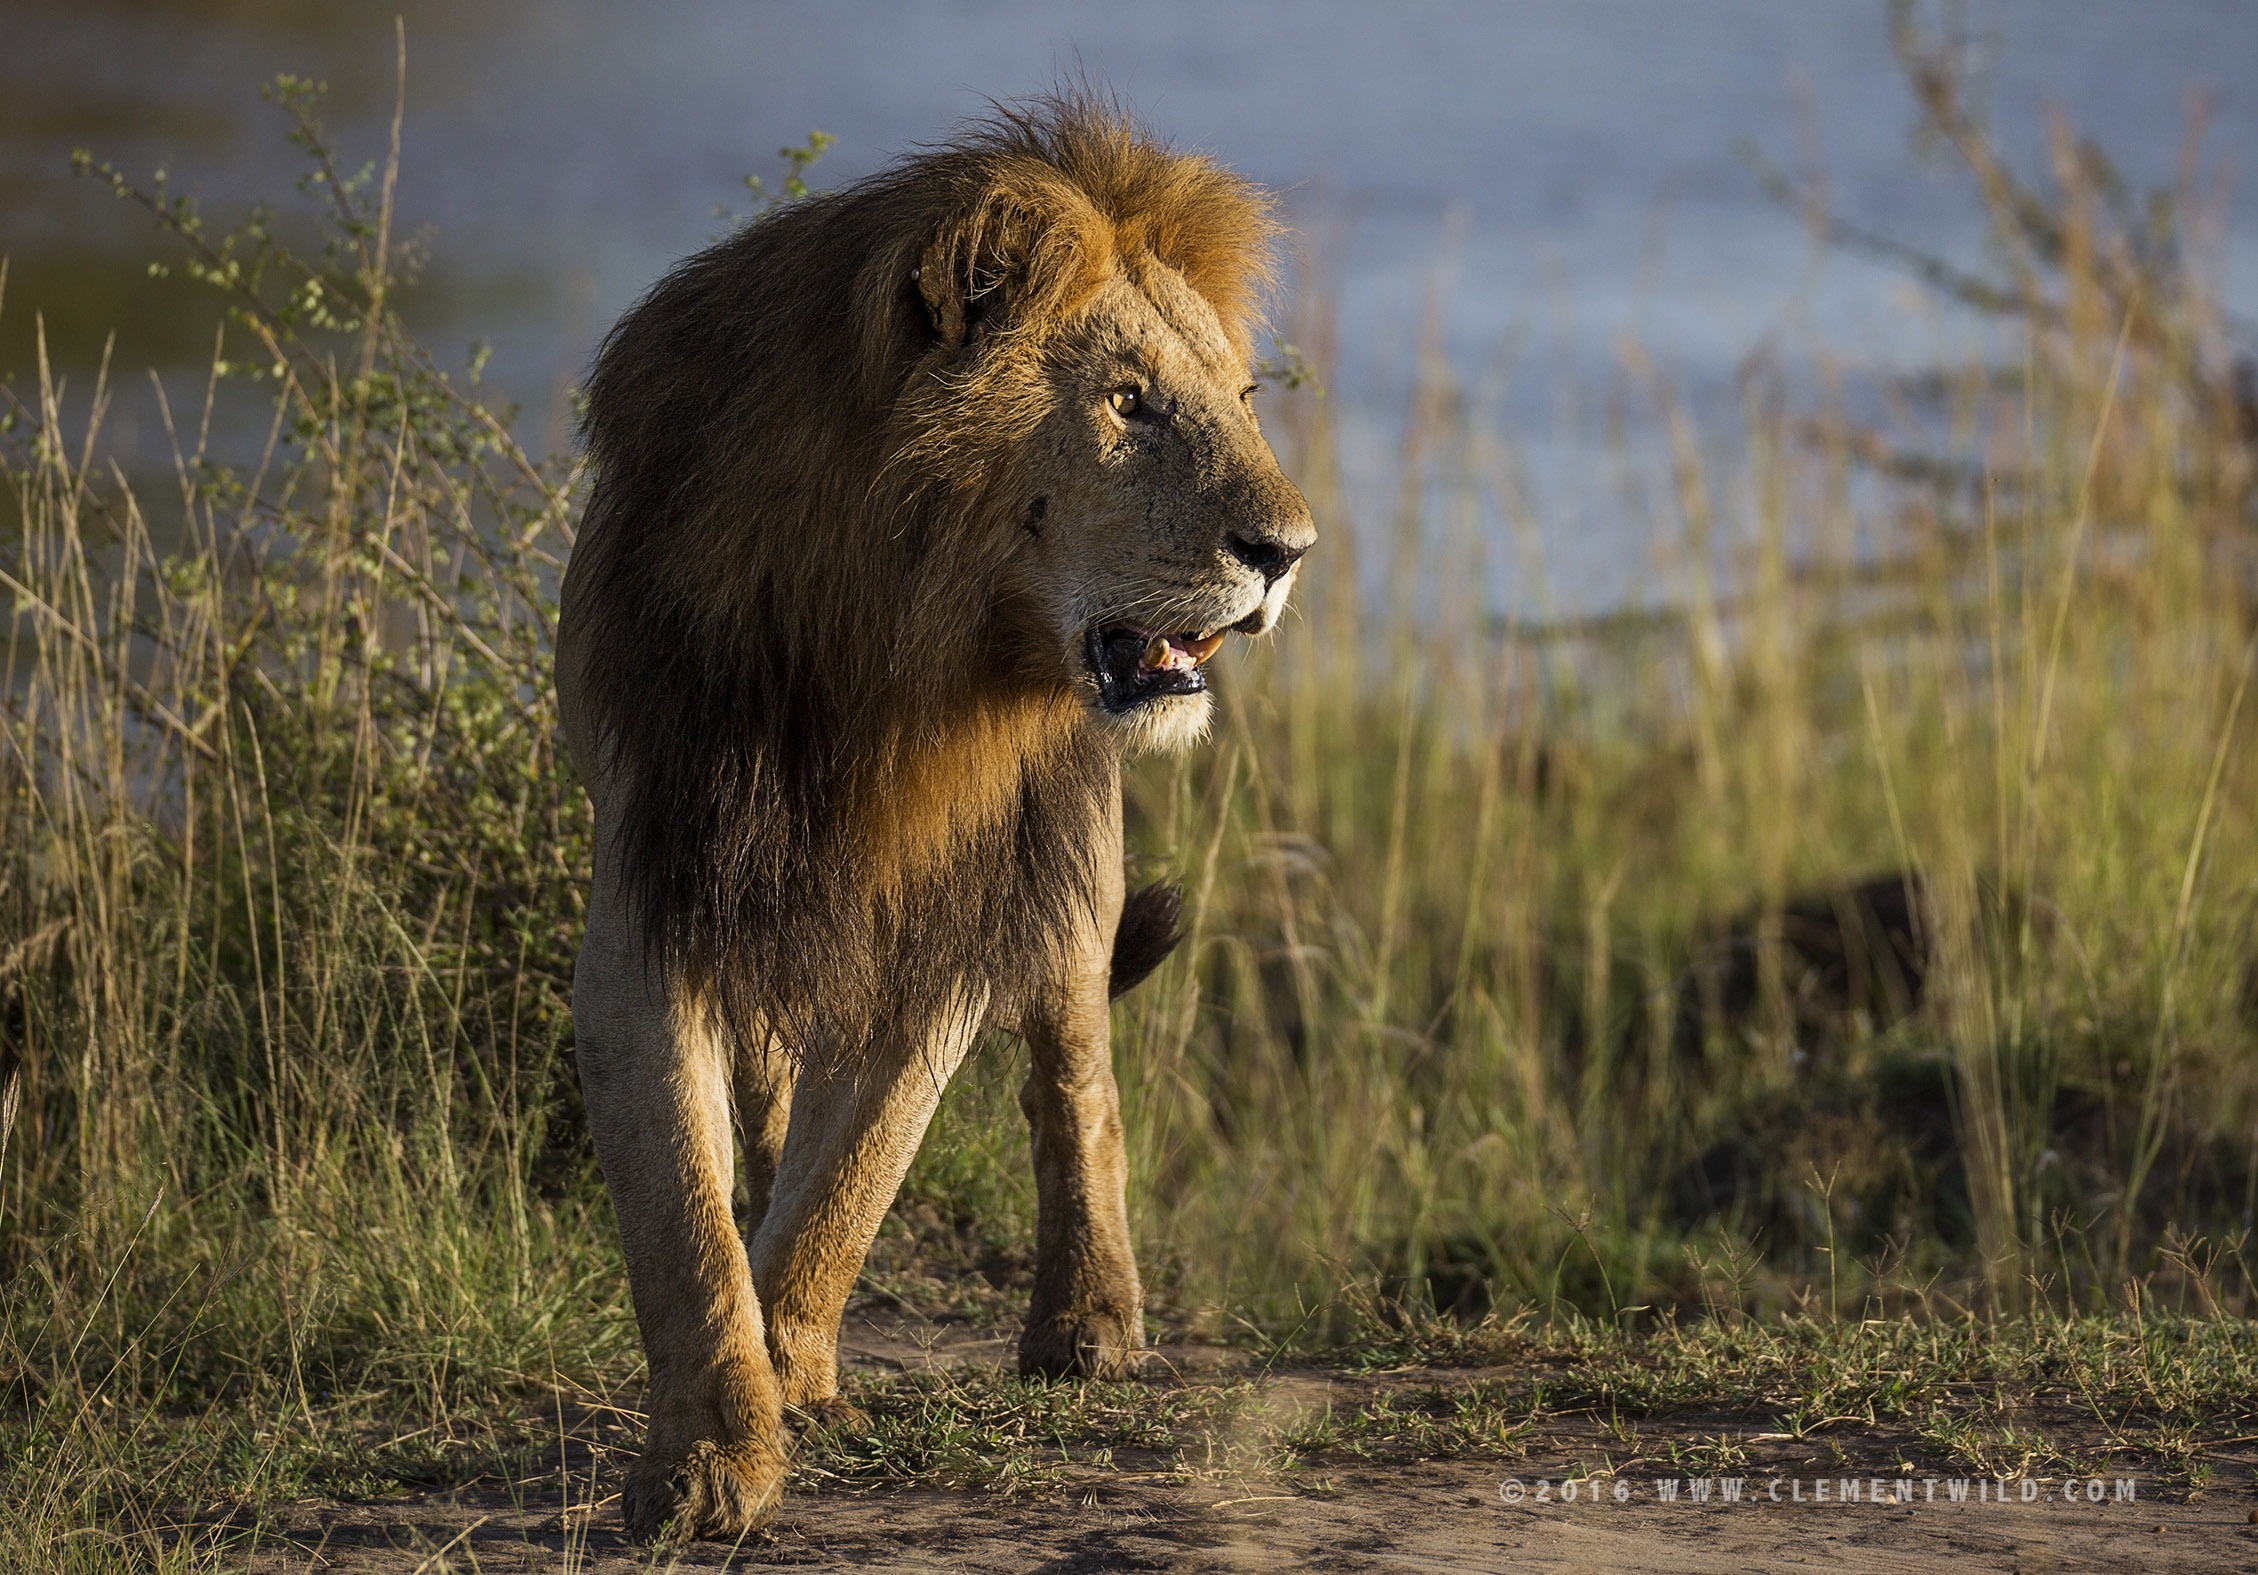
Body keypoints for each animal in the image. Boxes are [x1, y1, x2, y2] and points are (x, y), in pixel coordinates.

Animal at [553, 98, 1318, 1534]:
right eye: (1125, 402)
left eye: (1240, 401)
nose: (1288, 552)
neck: (886, 662)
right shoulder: (657, 875)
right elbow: (682, 1207)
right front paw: (705, 1457)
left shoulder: (952, 912)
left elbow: (852, 1178)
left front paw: (787, 1369)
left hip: (1065, 870)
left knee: (1076, 1081)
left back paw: (1088, 1325)